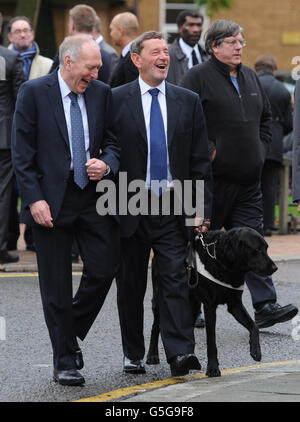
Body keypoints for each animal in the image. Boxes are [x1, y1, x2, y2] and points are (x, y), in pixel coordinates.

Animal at [146, 229, 278, 378]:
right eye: (257, 250)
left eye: (266, 248)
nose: (275, 268)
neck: (223, 262)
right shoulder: (209, 306)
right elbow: (211, 341)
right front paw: (213, 368)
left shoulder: (235, 305)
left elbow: (254, 326)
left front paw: (256, 350)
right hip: (160, 297)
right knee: (156, 326)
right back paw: (153, 355)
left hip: (193, 304)